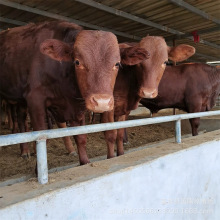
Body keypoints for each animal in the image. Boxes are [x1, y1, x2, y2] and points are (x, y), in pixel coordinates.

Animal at [0, 20, 149, 164]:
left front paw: (84, 162)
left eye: (117, 63)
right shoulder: (35, 100)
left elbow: (81, 137)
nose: (102, 102)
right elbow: (42, 137)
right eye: (77, 62)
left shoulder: (77, 107)